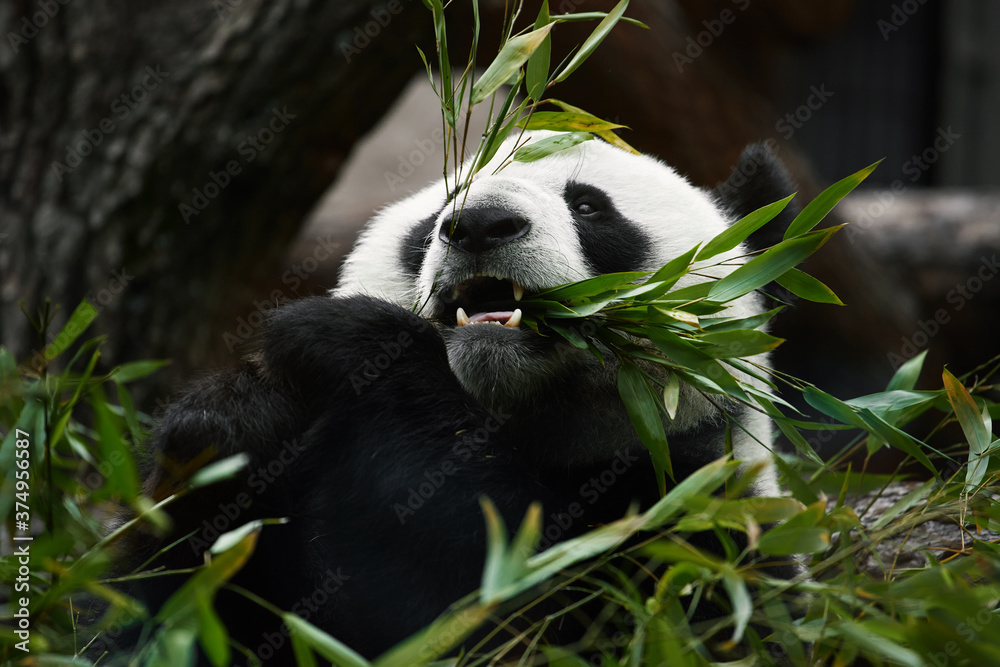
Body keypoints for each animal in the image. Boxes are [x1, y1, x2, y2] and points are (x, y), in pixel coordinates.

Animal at [123, 132, 799, 662]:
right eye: (437, 215)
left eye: (588, 206)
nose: (479, 224)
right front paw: (228, 425)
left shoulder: (705, 523)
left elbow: (549, 604)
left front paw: (349, 340)